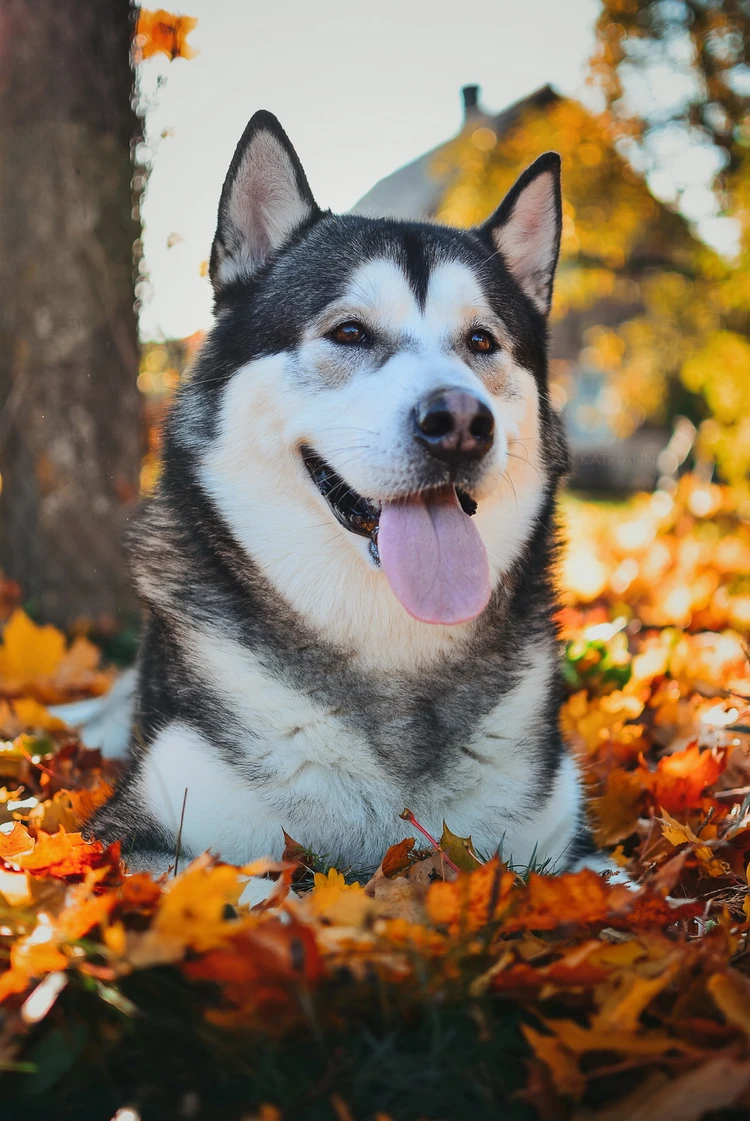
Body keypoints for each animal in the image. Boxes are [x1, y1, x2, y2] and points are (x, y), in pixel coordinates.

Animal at [90, 111, 600, 874]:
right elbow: (257, 884)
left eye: (482, 341)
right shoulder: (139, 838)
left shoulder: (561, 845)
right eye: (351, 331)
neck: (391, 646)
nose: (460, 423)